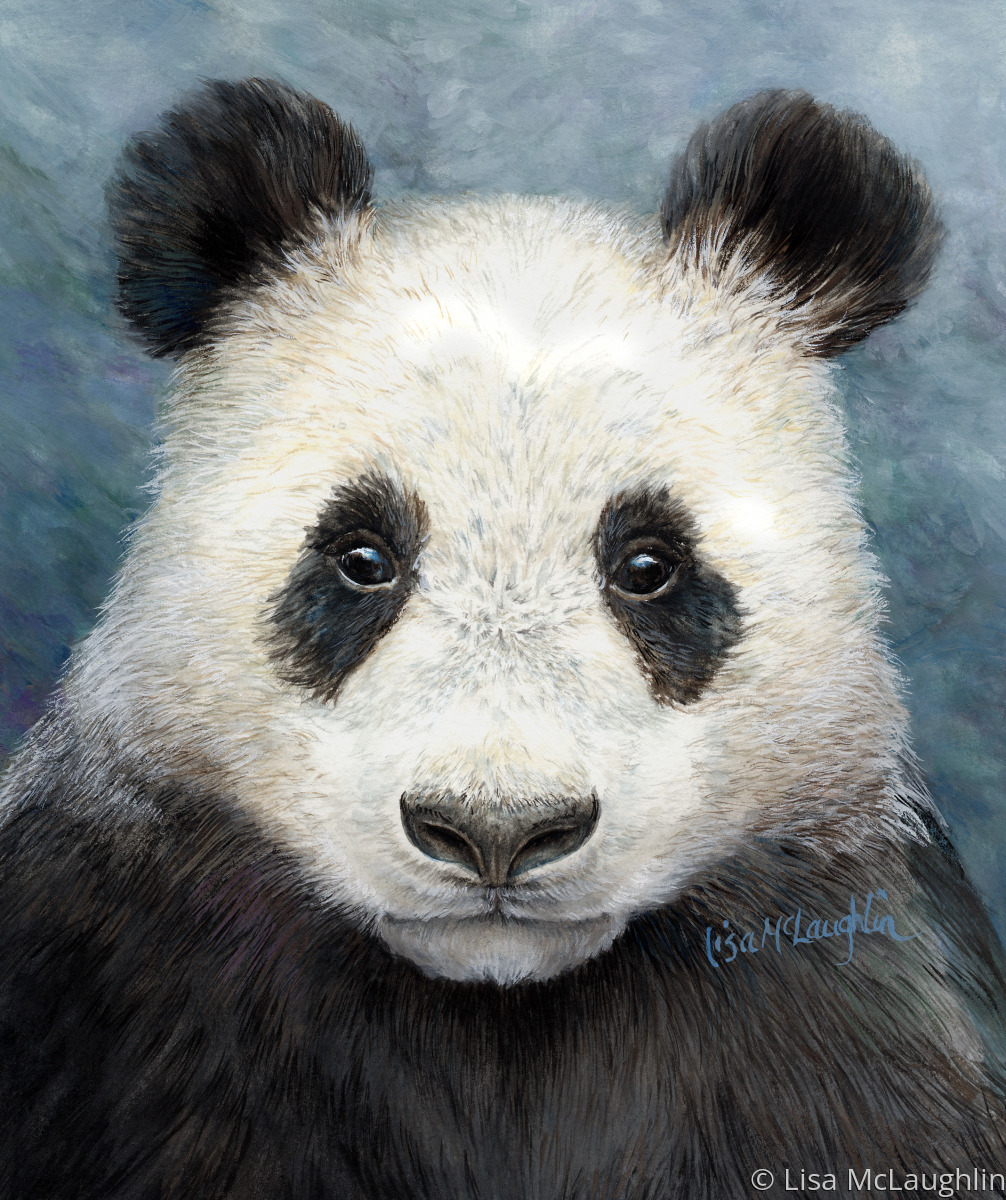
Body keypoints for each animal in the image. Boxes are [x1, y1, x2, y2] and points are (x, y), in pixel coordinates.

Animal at [1, 76, 1005, 1200]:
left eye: (648, 566)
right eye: (361, 557)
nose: (496, 830)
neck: (498, 1014)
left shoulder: (843, 991)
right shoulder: (124, 953)